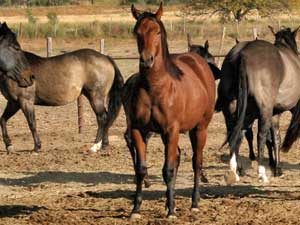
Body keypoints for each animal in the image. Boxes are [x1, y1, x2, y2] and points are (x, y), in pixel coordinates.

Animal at [0, 22, 124, 154]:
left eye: (17, 48)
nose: (30, 78)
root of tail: (106, 58)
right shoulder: (13, 102)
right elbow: (2, 120)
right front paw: (9, 146)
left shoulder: (25, 101)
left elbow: (32, 123)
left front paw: (37, 147)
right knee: (106, 118)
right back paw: (104, 144)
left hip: (96, 97)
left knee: (102, 118)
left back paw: (95, 146)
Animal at [126, 3, 216, 218]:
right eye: (137, 32)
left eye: (157, 31)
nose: (147, 60)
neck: (154, 88)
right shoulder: (138, 130)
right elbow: (141, 169)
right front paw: (136, 209)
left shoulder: (171, 131)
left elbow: (168, 169)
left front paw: (172, 211)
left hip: (199, 129)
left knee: (196, 162)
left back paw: (194, 202)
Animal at [217, 25, 300, 185]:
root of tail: (242, 53)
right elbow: (274, 138)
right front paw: (277, 168)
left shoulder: (274, 113)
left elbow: (274, 138)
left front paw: (276, 167)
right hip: (264, 109)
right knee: (260, 135)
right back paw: (262, 173)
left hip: (232, 109)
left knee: (234, 134)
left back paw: (234, 171)